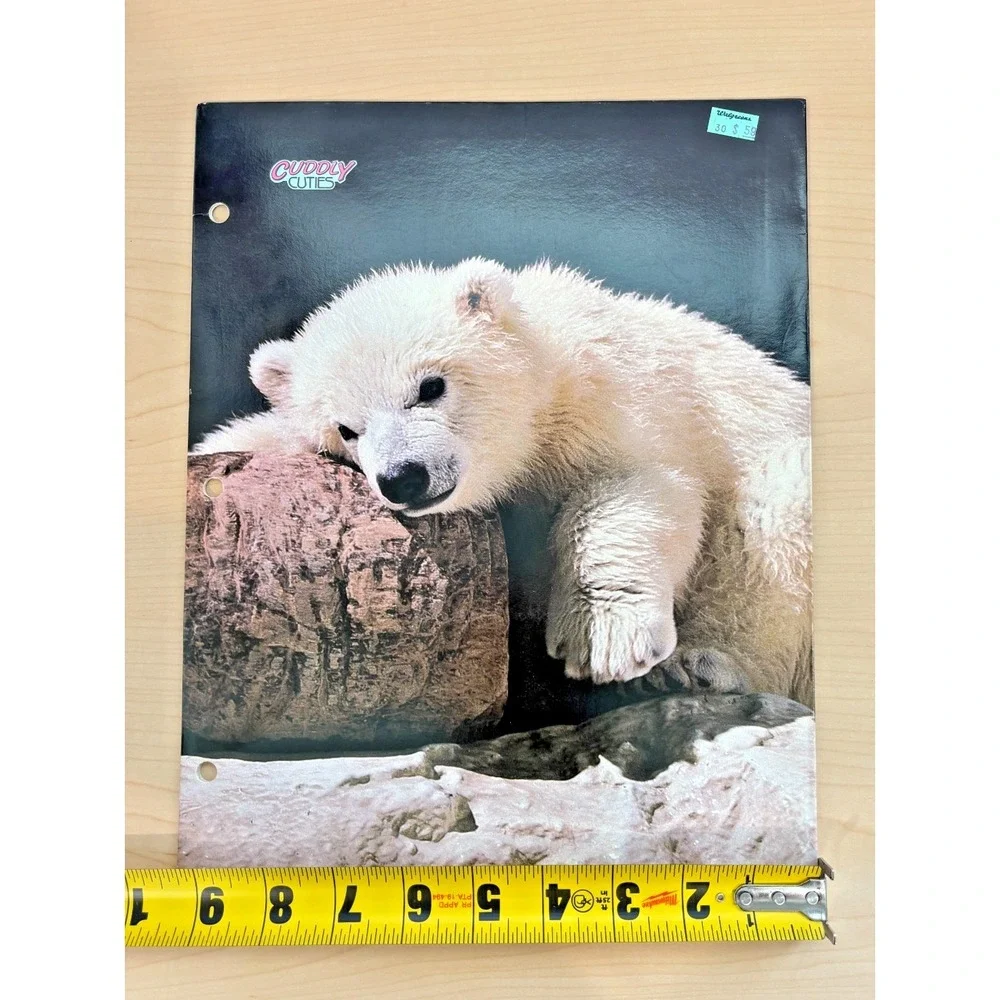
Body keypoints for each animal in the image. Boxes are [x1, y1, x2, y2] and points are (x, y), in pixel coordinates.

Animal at [195, 258, 813, 706]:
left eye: (431, 386)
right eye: (346, 429)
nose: (403, 478)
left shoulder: (619, 401)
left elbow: (633, 486)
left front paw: (602, 637)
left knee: (772, 517)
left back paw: (705, 666)